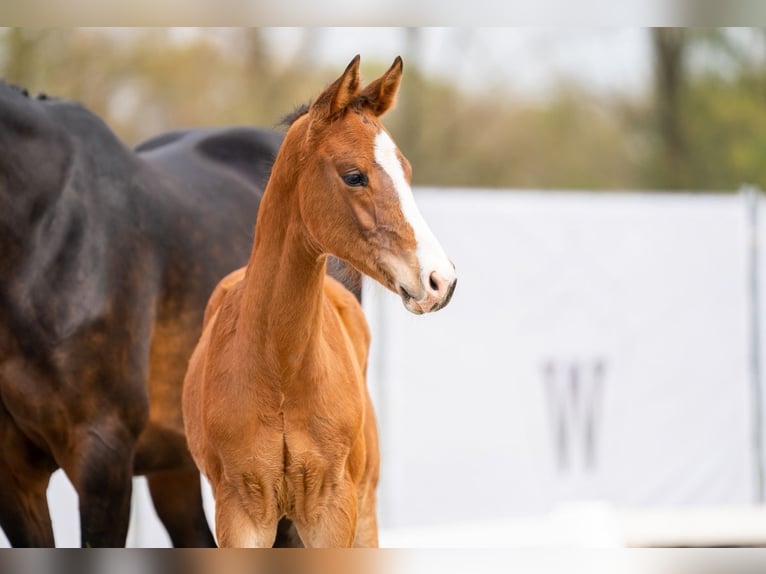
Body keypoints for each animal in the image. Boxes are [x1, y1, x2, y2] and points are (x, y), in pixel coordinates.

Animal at [182, 57, 456, 548]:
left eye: (405, 171)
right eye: (354, 175)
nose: (440, 280)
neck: (280, 370)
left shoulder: (332, 510)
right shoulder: (241, 512)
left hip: (363, 512)